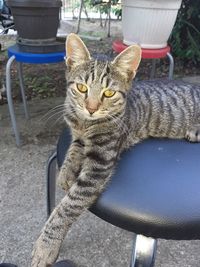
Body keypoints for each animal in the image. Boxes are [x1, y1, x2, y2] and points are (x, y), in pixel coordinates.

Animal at [30, 33, 200, 267]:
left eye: (109, 93)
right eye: (81, 88)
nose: (91, 108)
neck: (85, 123)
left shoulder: (99, 164)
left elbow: (68, 206)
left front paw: (46, 245)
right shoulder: (79, 137)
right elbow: (73, 149)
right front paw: (65, 173)